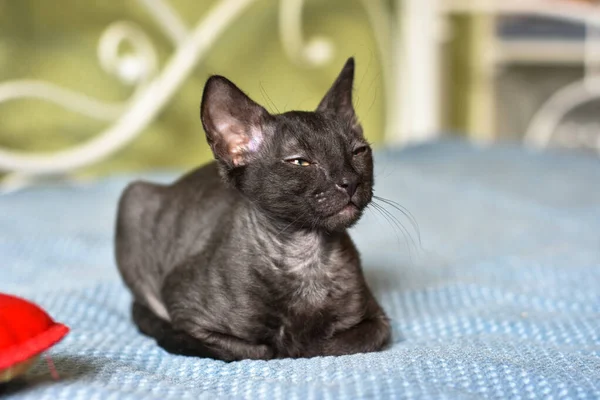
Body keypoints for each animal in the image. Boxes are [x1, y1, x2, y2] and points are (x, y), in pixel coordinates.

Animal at [115, 57, 392, 360]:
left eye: (359, 152)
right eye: (301, 162)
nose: (350, 181)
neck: (306, 255)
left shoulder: (378, 320)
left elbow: (332, 345)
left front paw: (304, 341)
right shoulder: (189, 317)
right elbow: (258, 350)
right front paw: (290, 343)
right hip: (133, 198)